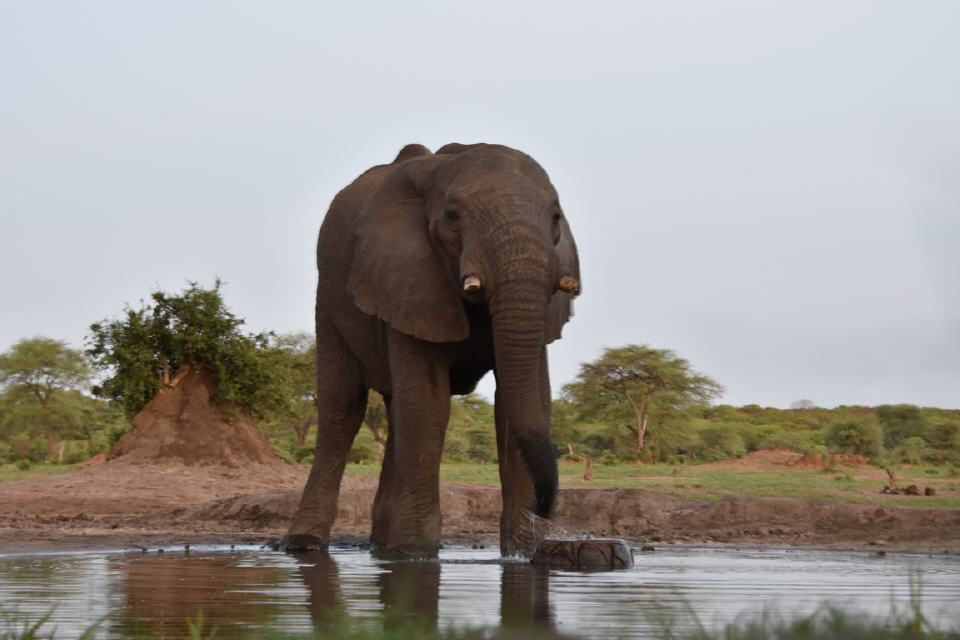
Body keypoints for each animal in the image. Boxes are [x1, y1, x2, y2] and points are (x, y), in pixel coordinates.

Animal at [282, 139, 580, 556]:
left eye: (555, 218)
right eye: (454, 217)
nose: (545, 506)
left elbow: (521, 399)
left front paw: (524, 552)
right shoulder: (409, 276)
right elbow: (429, 403)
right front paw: (415, 554)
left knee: (395, 409)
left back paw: (381, 546)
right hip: (329, 299)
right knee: (342, 408)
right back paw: (304, 545)